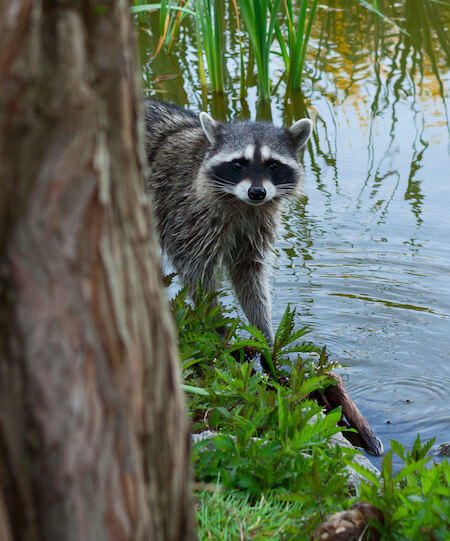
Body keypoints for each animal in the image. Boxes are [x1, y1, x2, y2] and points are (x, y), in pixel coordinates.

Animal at [145, 98, 312, 342]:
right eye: (238, 164)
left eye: (273, 165)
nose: (257, 193)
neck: (241, 202)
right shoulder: (185, 215)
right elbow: (196, 274)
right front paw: (217, 326)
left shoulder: (257, 224)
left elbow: (248, 272)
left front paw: (264, 333)